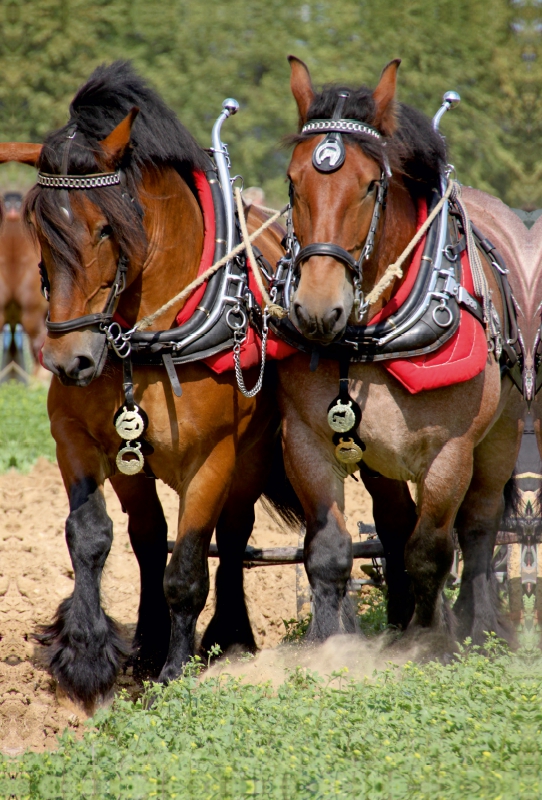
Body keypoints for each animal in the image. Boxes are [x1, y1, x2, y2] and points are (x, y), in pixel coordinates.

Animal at [280, 57, 532, 656]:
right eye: (293, 181)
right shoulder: (305, 439)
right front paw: (332, 646)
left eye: (370, 185)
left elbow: (433, 549)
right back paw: (397, 623)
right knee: (395, 524)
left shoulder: (450, 453)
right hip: (381, 457)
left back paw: (477, 625)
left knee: (479, 525)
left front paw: (431, 640)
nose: (316, 309)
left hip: (503, 433)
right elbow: (330, 550)